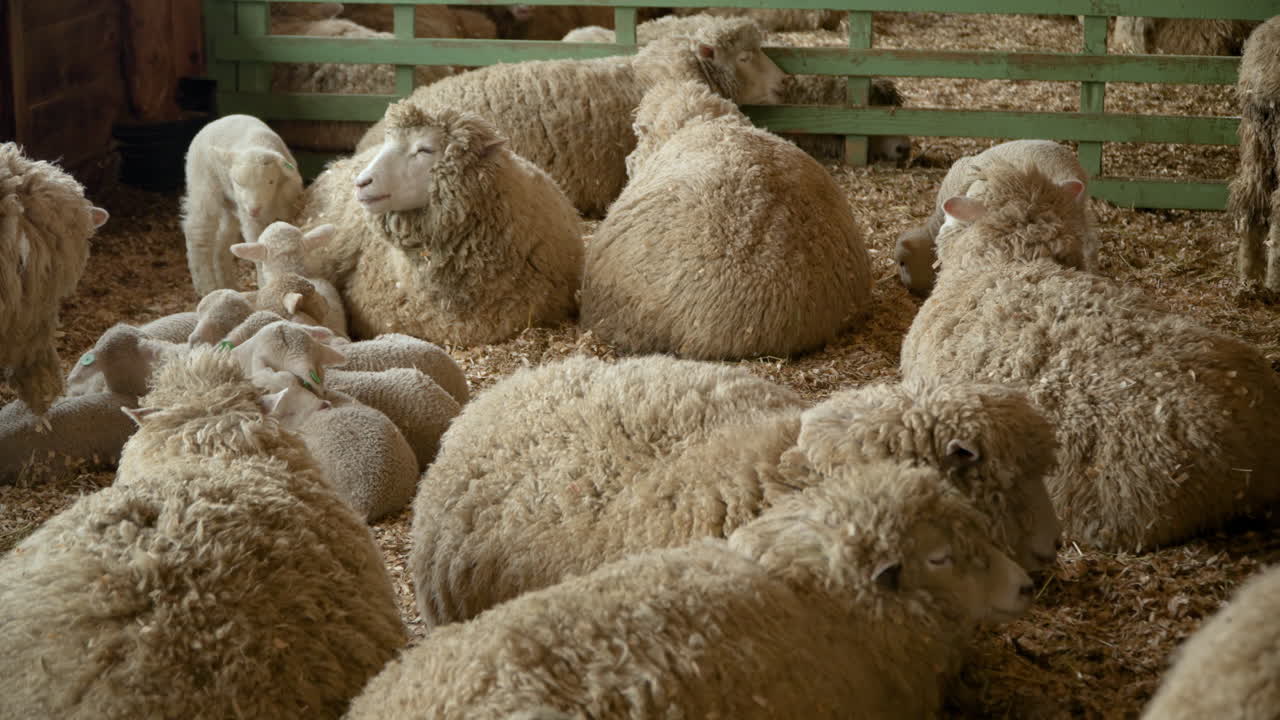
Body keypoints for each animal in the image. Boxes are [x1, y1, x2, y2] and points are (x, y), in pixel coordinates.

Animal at [181, 114, 303, 296]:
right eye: (238, 183)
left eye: (270, 181)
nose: (254, 210)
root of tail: (219, 120)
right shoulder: (249, 219)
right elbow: (257, 248)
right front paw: (265, 285)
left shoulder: (286, 206)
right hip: (203, 186)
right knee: (197, 233)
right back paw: (206, 287)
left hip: (230, 206)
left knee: (221, 242)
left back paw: (228, 285)